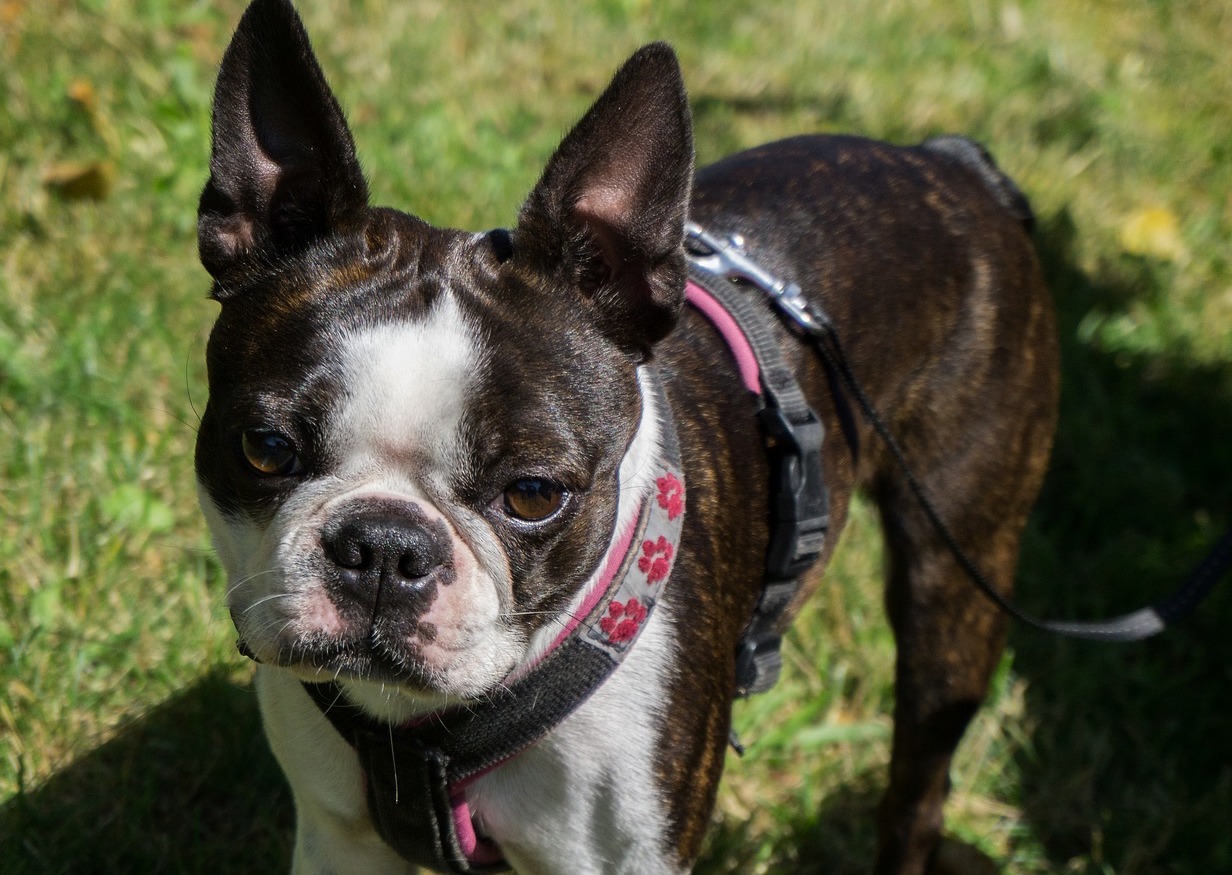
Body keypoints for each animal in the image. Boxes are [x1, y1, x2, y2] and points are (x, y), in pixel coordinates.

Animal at [194, 1, 1059, 875]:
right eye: (265, 448)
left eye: (533, 494)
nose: (383, 545)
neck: (426, 734)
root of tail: (947, 160)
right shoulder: (340, 837)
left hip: (953, 585)